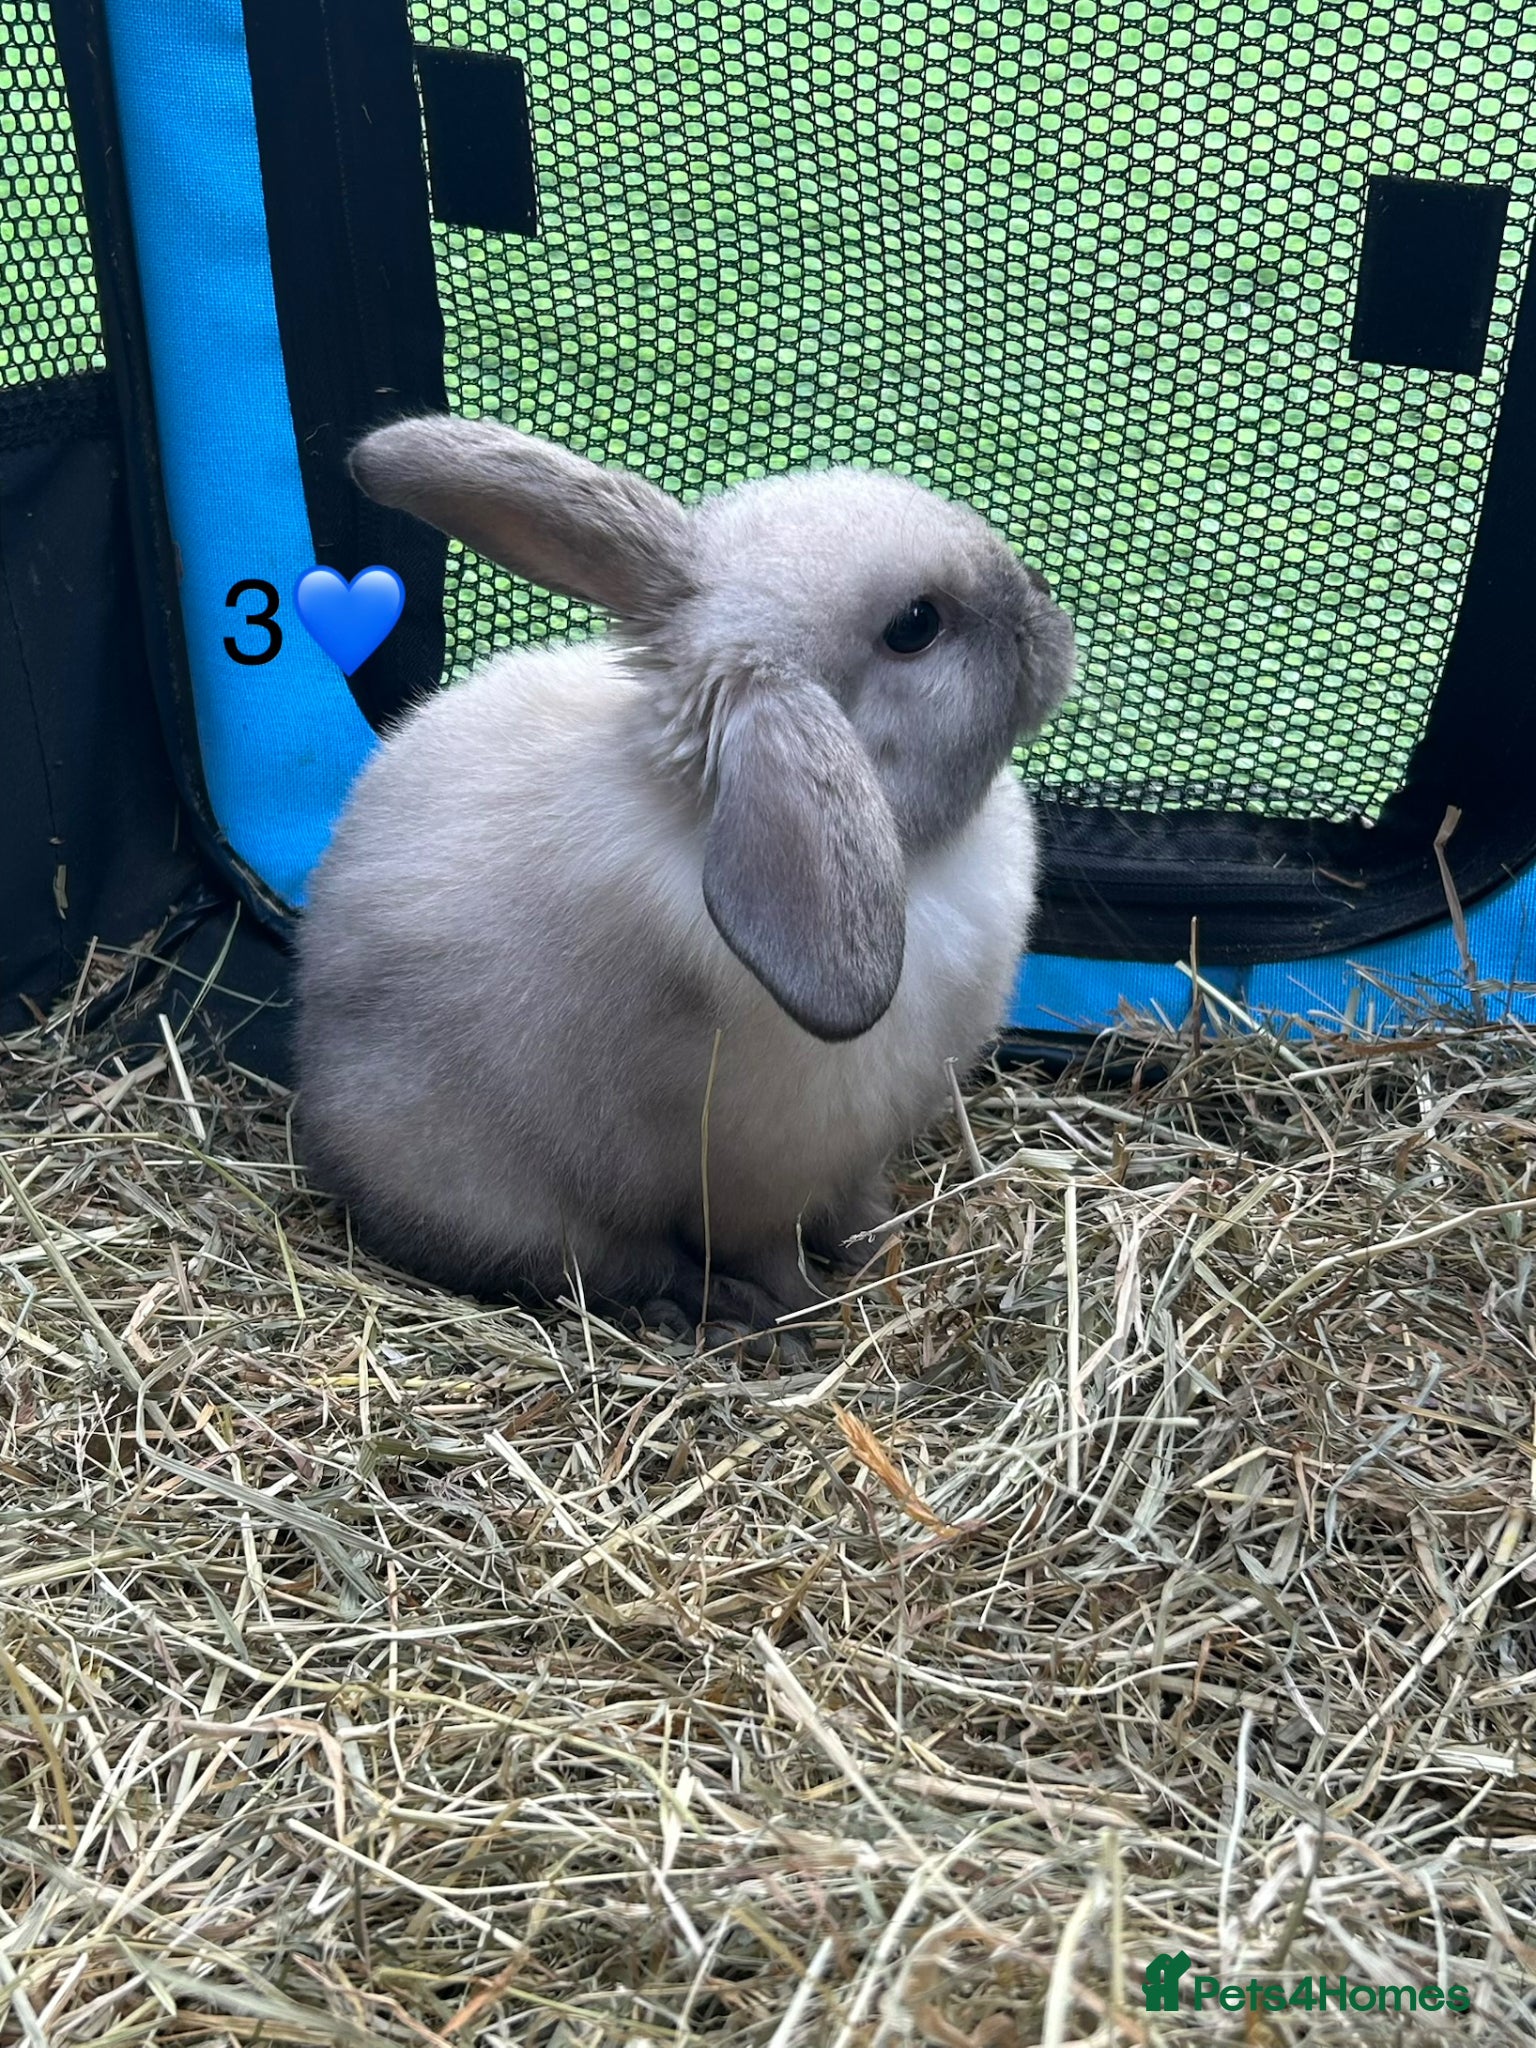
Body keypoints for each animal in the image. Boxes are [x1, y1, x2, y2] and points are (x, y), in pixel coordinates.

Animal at [294, 415, 1075, 1345]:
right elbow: (769, 1251)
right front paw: (807, 1316)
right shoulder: (754, 1184)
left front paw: (877, 1247)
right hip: (527, 1214)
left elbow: (857, 1209)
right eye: (915, 624)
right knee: (627, 1267)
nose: (1048, 609)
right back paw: (722, 1310)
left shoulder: (856, 1157)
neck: (919, 860)